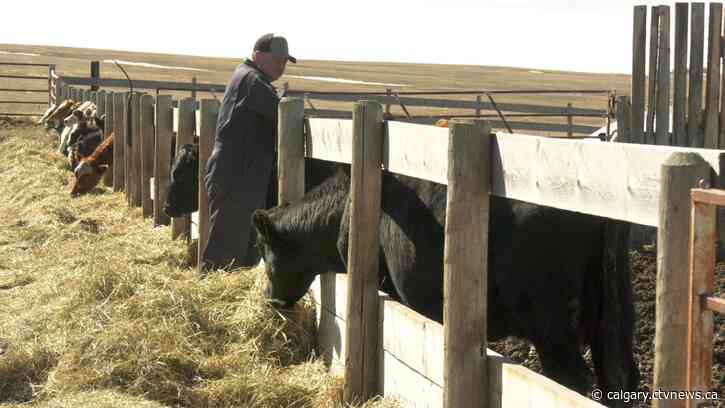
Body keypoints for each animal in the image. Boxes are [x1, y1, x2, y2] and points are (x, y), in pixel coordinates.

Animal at [251, 164, 638, 404]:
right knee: (620, 381)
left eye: (264, 249)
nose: (271, 301)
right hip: (612, 326)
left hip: (551, 328)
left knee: (573, 381)